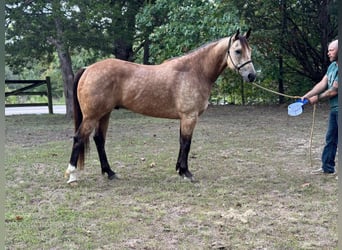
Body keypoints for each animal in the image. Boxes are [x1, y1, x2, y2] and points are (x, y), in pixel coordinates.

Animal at [65, 28, 256, 184]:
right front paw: (186, 173)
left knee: (99, 140)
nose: (252, 76)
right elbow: (186, 143)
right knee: (79, 138)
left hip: (104, 114)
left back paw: (110, 172)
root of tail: (88, 68)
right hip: (92, 116)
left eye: (250, 50)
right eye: (238, 51)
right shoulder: (189, 116)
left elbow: (181, 142)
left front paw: (179, 169)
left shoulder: (184, 118)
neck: (194, 71)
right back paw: (72, 175)